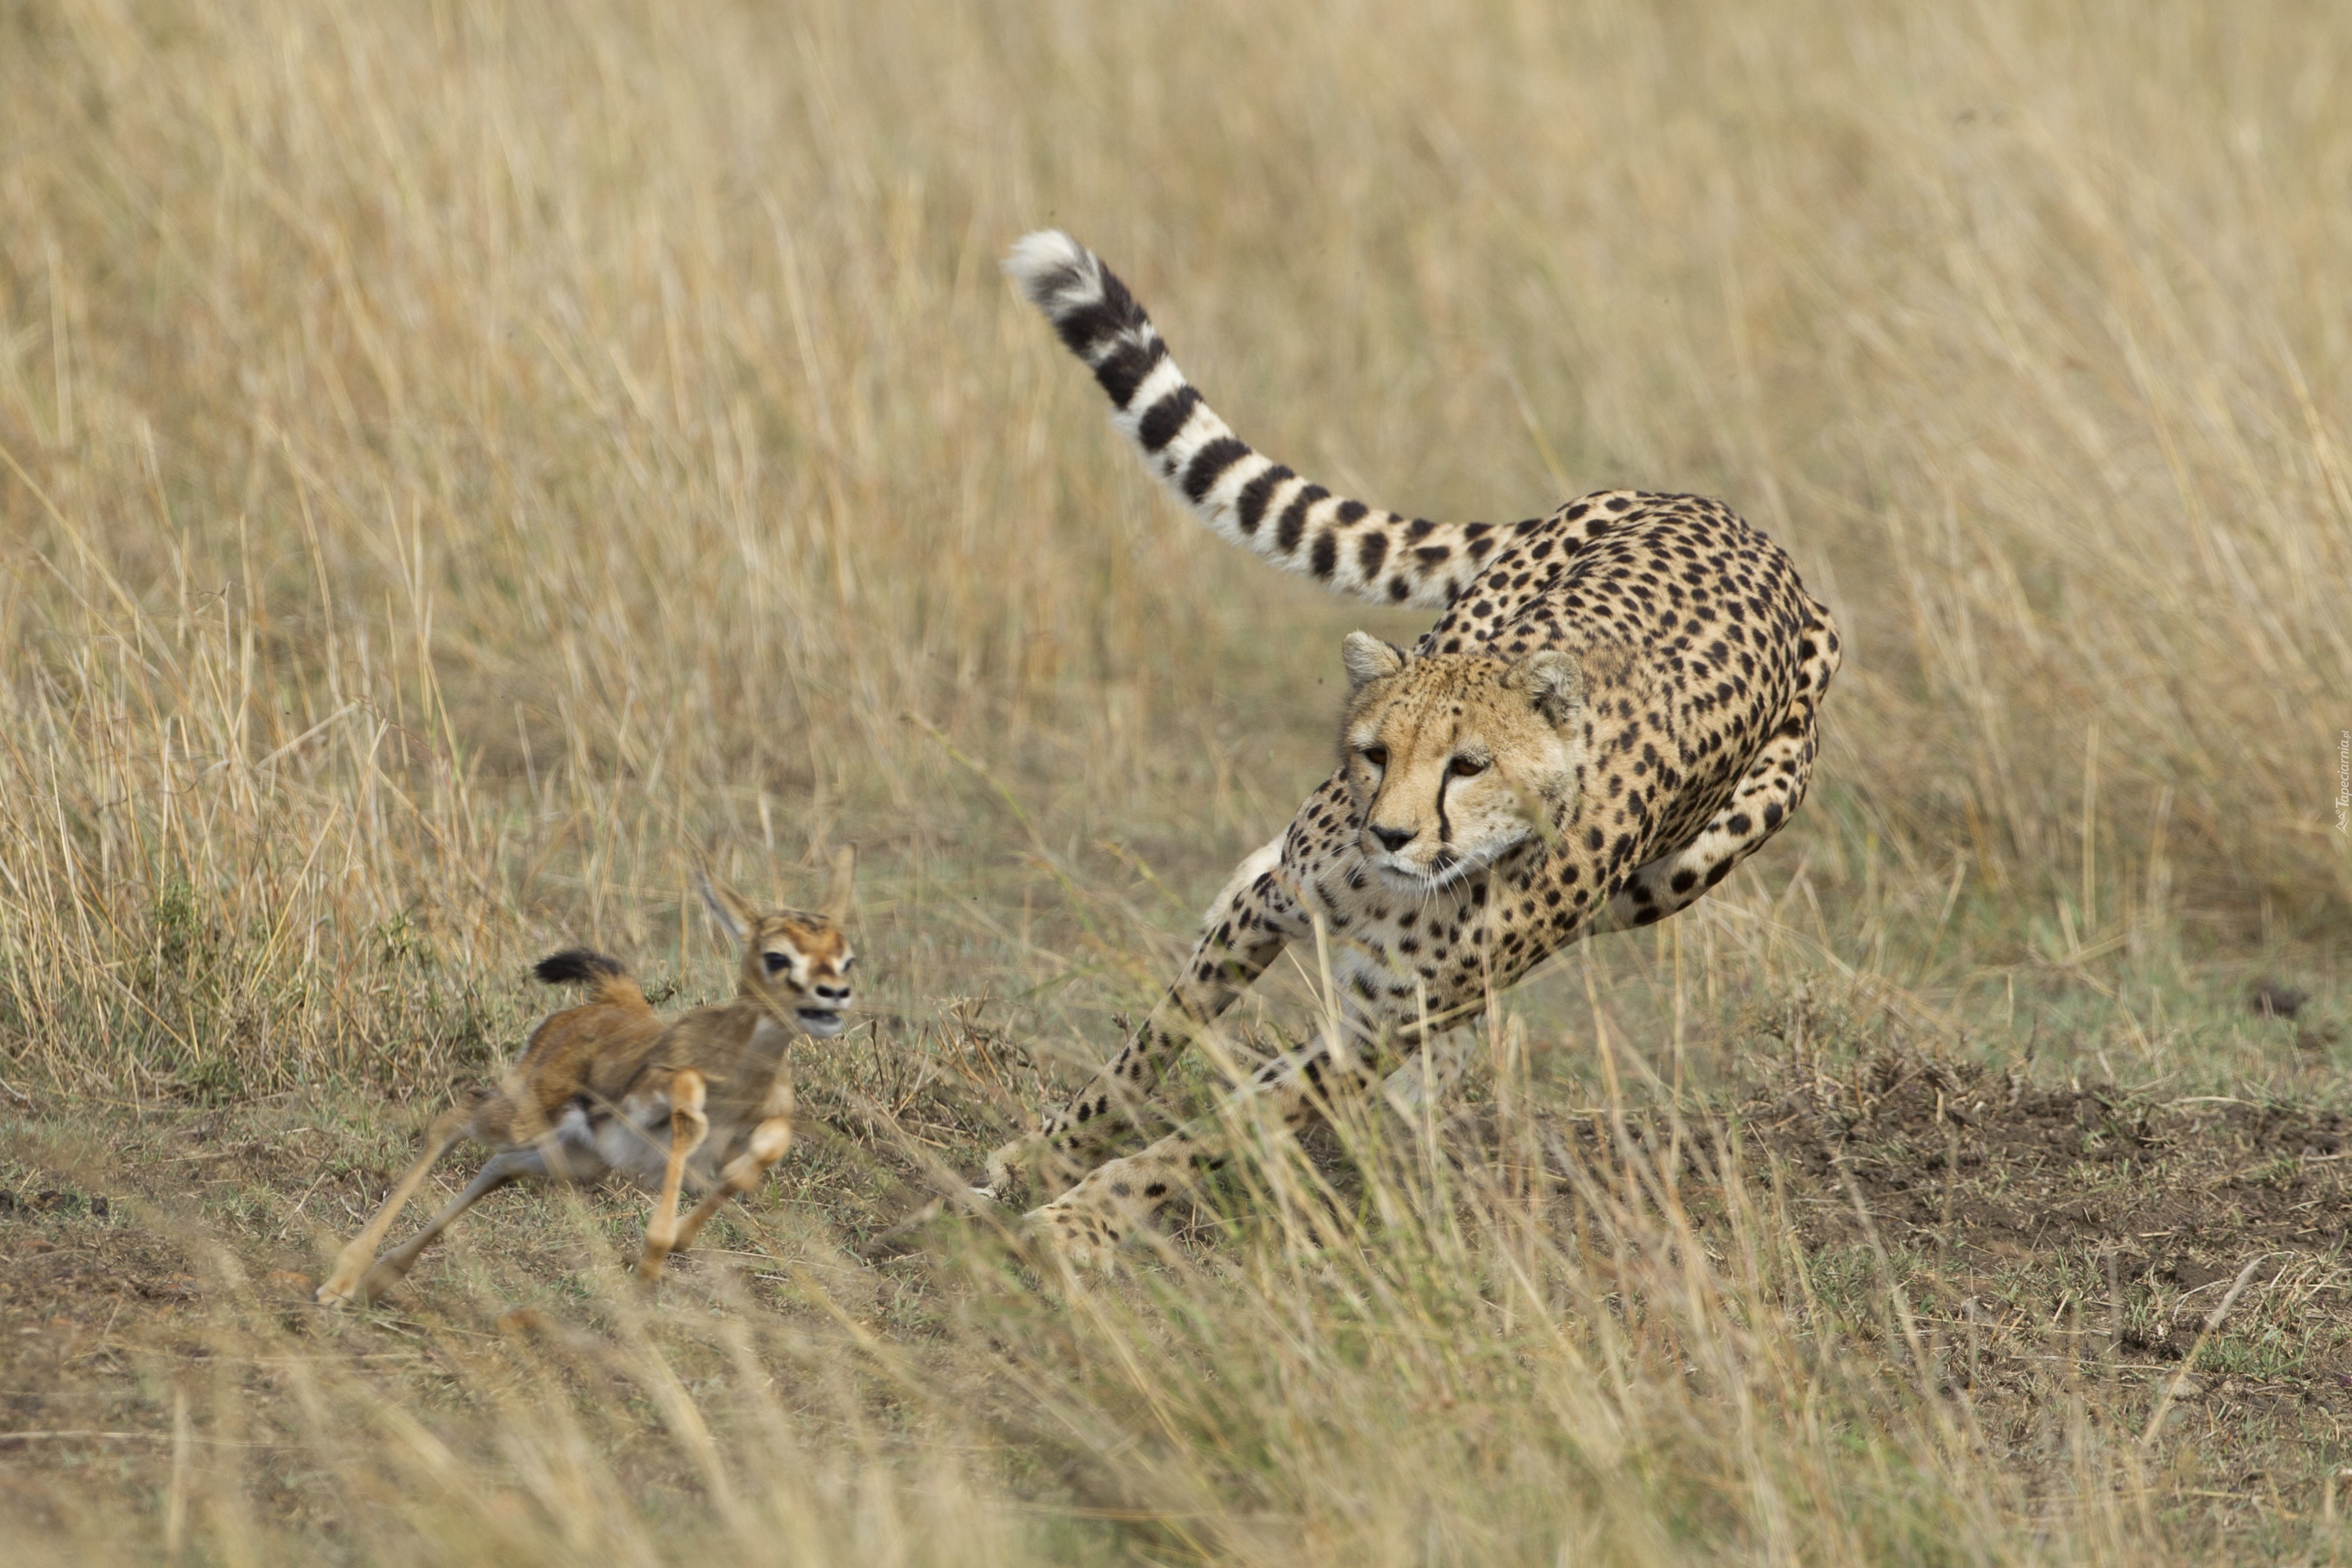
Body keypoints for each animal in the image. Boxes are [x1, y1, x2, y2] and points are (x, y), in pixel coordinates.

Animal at [988, 230, 1835, 1260]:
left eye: (1469, 767)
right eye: (1375, 754)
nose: (1389, 834)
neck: (1406, 890)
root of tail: (1741, 527)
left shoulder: (1374, 1030)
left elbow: (1222, 1128)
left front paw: (1083, 1215)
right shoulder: (1276, 912)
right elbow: (1153, 1041)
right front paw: (1047, 1159)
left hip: (1671, 878)